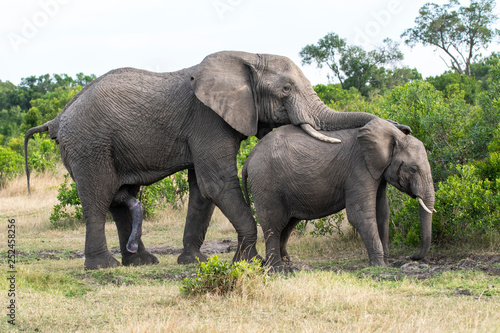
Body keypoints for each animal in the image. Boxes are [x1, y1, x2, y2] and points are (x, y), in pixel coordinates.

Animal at [24, 50, 410, 270]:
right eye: (286, 90)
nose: (404, 127)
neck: (245, 58)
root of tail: (57, 119)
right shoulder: (208, 118)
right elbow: (217, 182)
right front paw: (250, 261)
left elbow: (202, 190)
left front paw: (193, 261)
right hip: (89, 144)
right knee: (99, 196)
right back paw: (103, 267)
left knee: (122, 198)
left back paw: (141, 263)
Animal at [242, 118, 434, 268]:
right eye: (413, 169)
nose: (412, 257)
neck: (391, 137)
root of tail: (249, 158)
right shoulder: (359, 168)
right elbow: (361, 214)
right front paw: (379, 266)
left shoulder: (378, 172)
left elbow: (382, 212)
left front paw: (385, 264)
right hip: (265, 182)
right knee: (274, 225)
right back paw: (276, 268)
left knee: (288, 224)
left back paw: (286, 262)